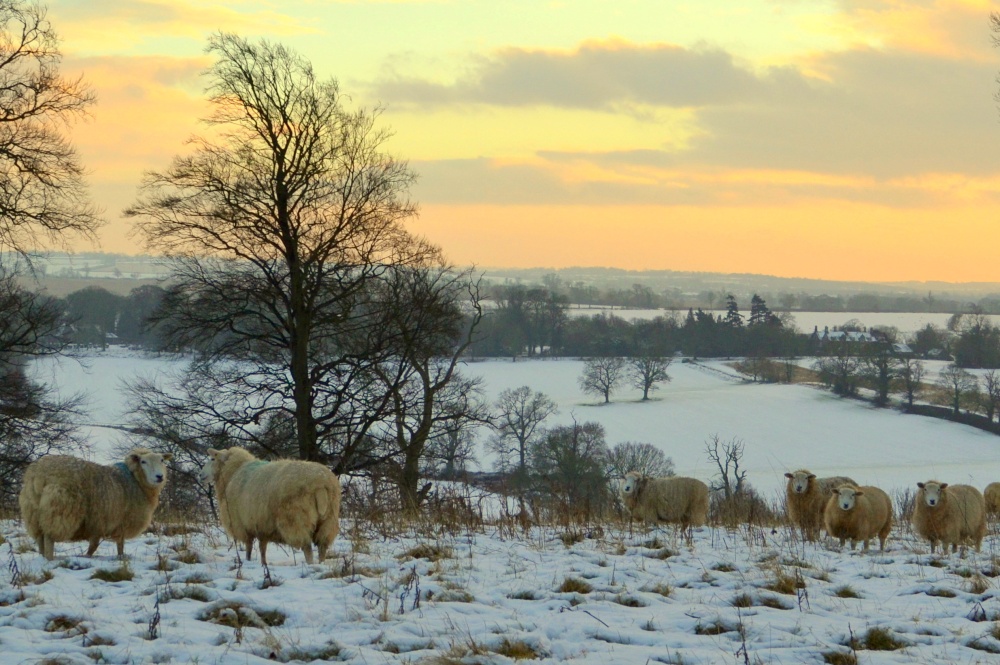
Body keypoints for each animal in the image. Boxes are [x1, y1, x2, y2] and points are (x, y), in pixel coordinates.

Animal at [18, 448, 173, 560]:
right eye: (143, 462)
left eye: (162, 460)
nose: (160, 476)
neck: (136, 480)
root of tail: (38, 474)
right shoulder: (118, 521)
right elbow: (115, 544)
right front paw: (119, 557)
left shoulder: (98, 522)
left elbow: (97, 544)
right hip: (60, 509)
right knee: (49, 538)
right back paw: (50, 560)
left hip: (33, 512)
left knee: (39, 538)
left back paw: (42, 557)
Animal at [204, 447, 340, 566]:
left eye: (212, 459)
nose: (201, 475)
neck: (232, 473)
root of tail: (321, 484)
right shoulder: (261, 525)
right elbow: (262, 547)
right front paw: (263, 564)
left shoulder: (243, 524)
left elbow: (249, 546)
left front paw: (248, 560)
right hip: (328, 519)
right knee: (323, 545)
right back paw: (321, 563)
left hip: (296, 518)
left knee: (306, 546)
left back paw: (310, 564)